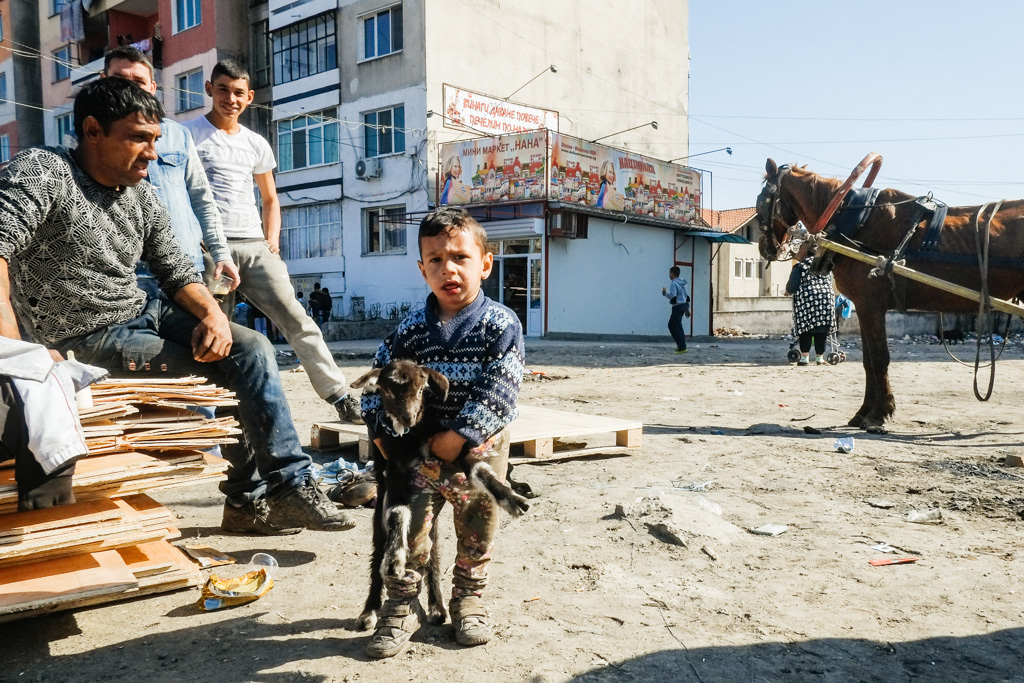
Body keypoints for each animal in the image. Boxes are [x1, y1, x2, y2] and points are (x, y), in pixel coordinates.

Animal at [757, 157, 1024, 430]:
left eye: (761, 200)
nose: (766, 248)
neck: (856, 219)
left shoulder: (871, 304)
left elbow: (878, 358)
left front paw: (878, 414)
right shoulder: (863, 306)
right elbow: (867, 361)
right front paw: (863, 412)